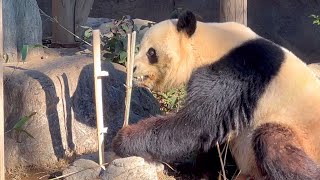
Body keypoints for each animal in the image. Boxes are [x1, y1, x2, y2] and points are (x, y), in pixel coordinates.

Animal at [112, 10, 320, 179]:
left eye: (151, 52)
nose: (133, 67)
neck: (209, 42)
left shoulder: (234, 72)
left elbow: (196, 124)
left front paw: (123, 138)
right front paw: (195, 169)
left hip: (302, 135)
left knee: (273, 142)